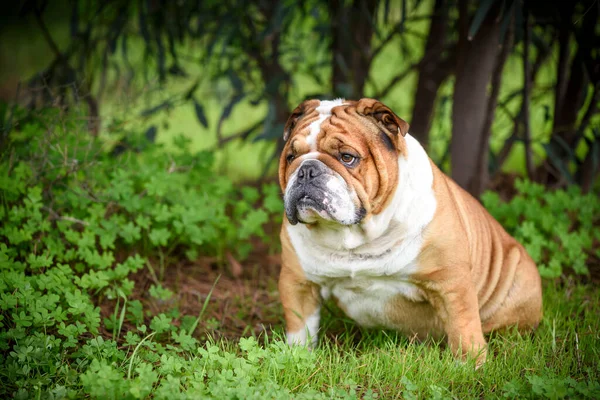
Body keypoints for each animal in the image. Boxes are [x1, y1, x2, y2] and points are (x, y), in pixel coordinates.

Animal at [276, 97, 544, 366]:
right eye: (290, 157)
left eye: (347, 157)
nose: (306, 170)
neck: (358, 237)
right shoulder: (298, 281)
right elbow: (300, 328)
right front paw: (297, 357)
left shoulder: (450, 283)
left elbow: (464, 328)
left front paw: (470, 366)